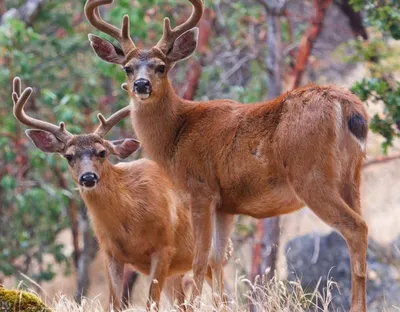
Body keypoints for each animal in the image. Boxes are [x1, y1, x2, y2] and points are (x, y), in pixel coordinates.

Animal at [12, 77, 231, 310]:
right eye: (69, 156)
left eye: (102, 152)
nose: (88, 177)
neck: (130, 223)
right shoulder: (110, 253)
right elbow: (114, 303)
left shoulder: (164, 247)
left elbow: (151, 303)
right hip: (177, 272)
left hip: (213, 256)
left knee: (222, 297)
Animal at [83, 1, 368, 310]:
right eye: (127, 68)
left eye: (161, 67)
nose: (141, 85)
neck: (176, 134)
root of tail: (349, 108)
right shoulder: (226, 205)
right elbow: (217, 261)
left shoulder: (200, 189)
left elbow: (199, 260)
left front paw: (194, 305)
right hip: (352, 175)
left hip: (310, 175)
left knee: (356, 227)